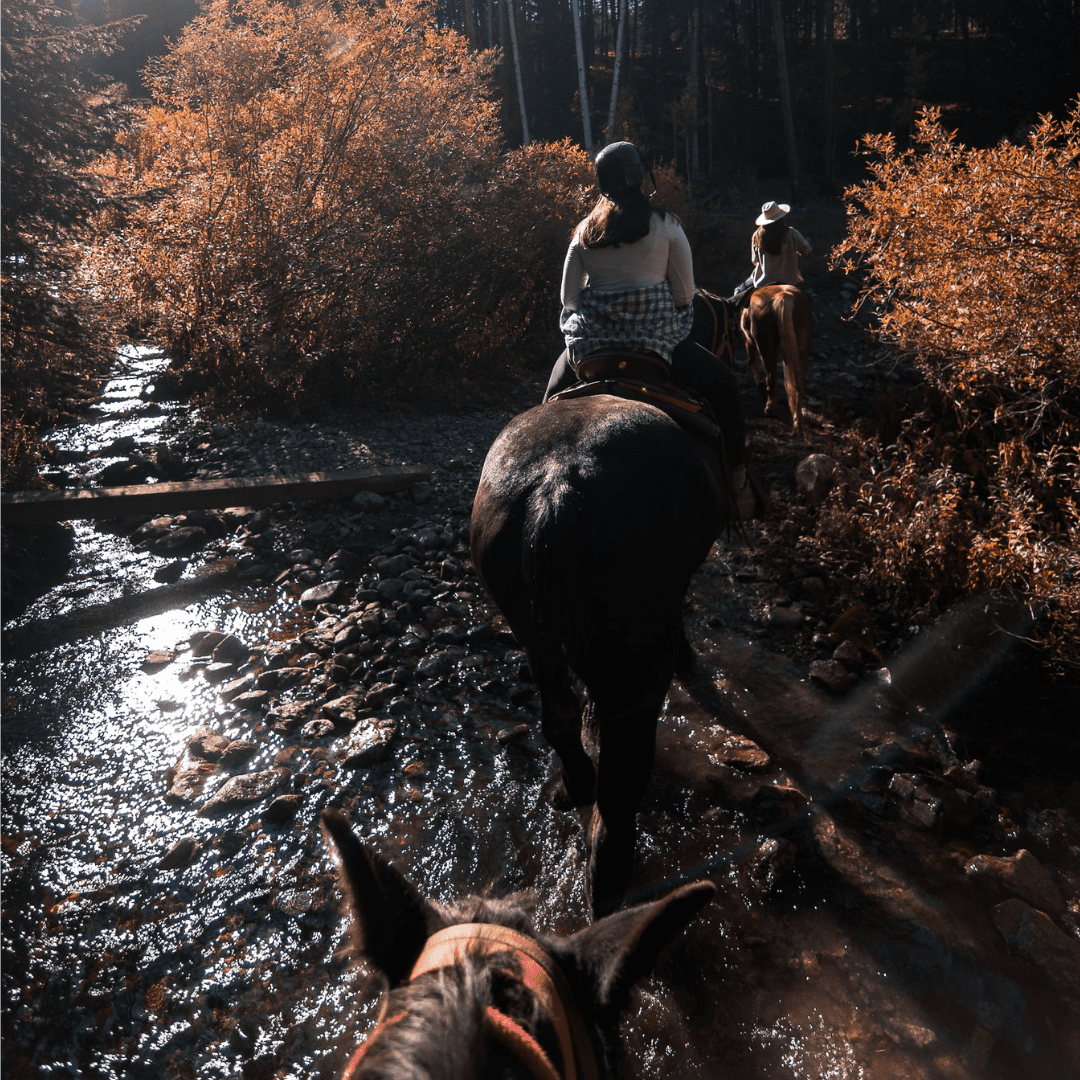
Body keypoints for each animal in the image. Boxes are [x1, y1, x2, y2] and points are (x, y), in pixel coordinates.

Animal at [468, 393, 721, 915]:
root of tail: (556, 484)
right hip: (638, 659)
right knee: (622, 781)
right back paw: (609, 884)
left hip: (535, 636)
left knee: (560, 719)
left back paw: (572, 788)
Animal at [738, 287, 812, 438]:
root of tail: (783, 296)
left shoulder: (750, 342)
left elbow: (752, 362)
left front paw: (760, 385)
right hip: (800, 350)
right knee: (798, 383)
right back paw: (798, 422)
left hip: (766, 350)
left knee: (772, 378)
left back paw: (769, 409)